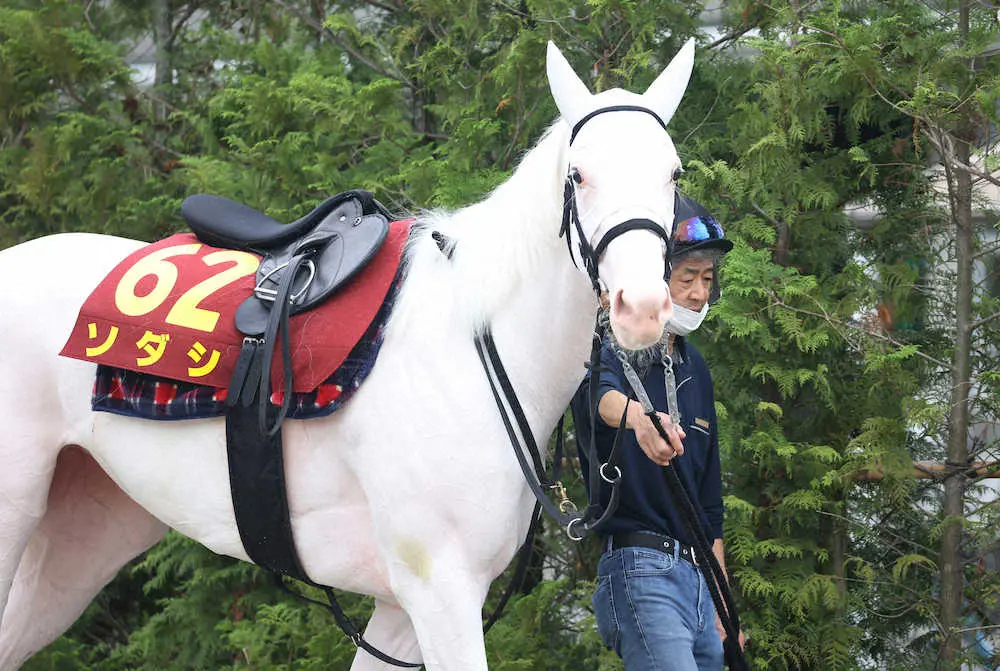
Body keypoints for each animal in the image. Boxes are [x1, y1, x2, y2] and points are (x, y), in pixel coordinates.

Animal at [0, 40, 692, 668]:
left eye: (674, 173)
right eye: (579, 175)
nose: (641, 306)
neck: (470, 351)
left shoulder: (401, 611)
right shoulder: (440, 594)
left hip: (87, 531)